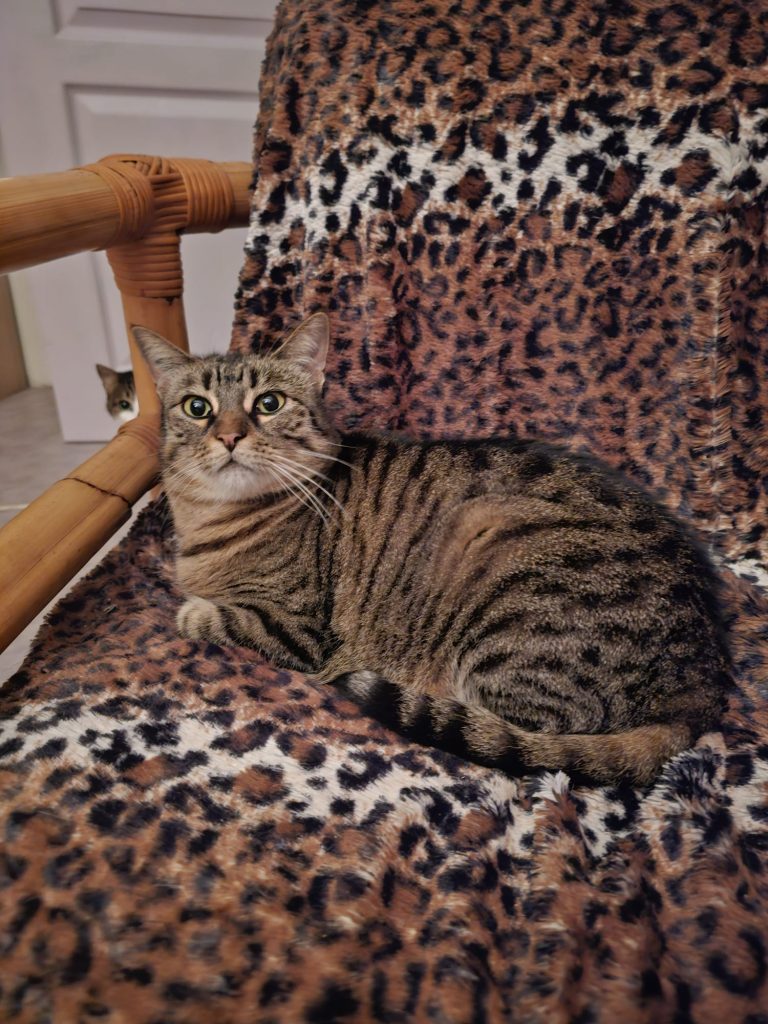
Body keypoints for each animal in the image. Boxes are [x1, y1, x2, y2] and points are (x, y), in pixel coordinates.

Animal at [133, 314, 731, 786]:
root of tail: (703, 679)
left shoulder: (295, 628)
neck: (213, 519)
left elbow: (209, 617)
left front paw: (192, 611)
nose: (229, 436)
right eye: (197, 407)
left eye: (269, 403)